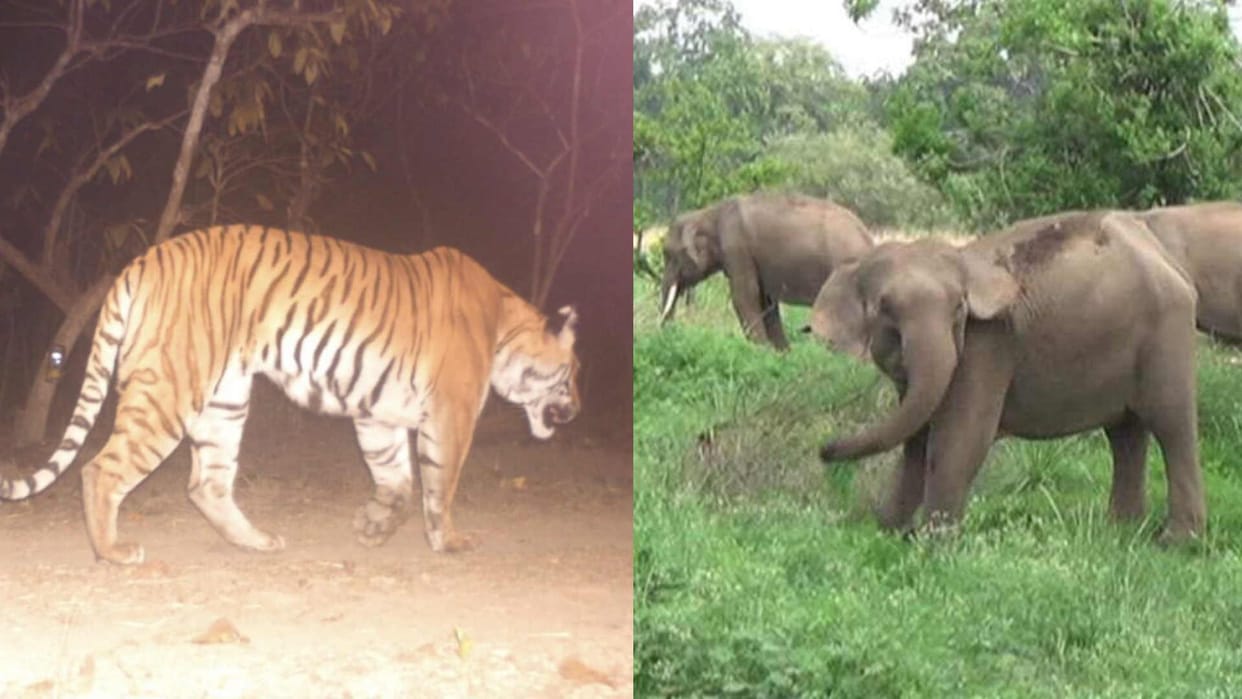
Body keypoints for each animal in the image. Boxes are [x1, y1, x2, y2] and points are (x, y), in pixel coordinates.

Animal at [0, 225, 581, 565]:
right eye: (574, 373)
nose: (577, 409)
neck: (506, 325)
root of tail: (145, 258)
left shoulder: (379, 414)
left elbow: (396, 481)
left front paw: (372, 527)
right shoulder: (451, 414)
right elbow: (440, 486)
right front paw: (449, 542)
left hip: (225, 401)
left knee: (205, 484)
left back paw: (256, 542)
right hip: (170, 389)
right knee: (101, 469)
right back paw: (113, 552)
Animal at [660, 194, 874, 350]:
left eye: (669, 255)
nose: (668, 333)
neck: (708, 213)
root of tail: (868, 238)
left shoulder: (737, 249)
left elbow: (744, 297)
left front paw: (759, 350)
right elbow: (766, 303)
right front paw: (782, 352)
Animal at [808, 210, 1206, 541]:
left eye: (958, 309)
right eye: (884, 309)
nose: (824, 450)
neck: (962, 259)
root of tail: (1163, 256)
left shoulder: (986, 348)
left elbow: (960, 439)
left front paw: (934, 546)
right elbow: (918, 437)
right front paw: (889, 534)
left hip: (1167, 333)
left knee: (1172, 426)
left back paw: (1177, 543)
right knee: (1125, 434)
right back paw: (1119, 532)